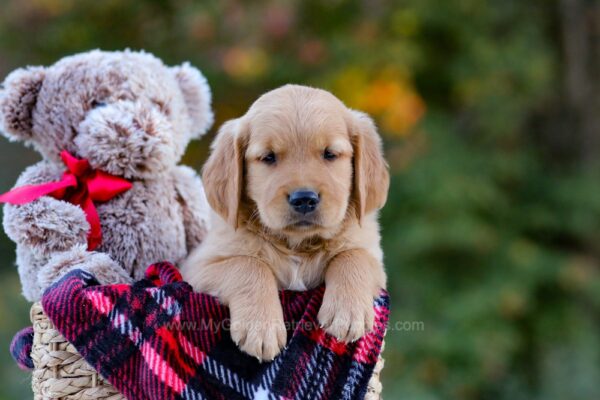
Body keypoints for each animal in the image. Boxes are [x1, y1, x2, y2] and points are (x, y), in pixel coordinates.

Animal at [182, 84, 390, 360]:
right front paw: (261, 328)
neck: (297, 245)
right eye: (268, 157)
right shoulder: (198, 266)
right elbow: (248, 264)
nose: (304, 199)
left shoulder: (372, 255)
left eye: (330, 154)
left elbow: (353, 257)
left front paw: (348, 312)